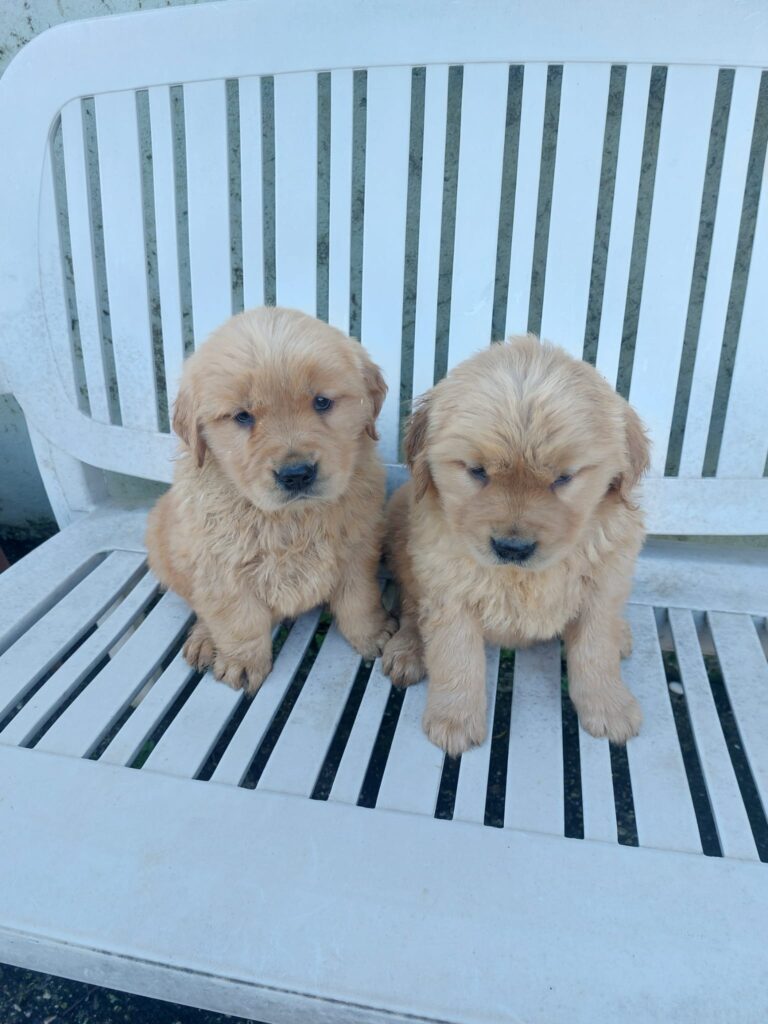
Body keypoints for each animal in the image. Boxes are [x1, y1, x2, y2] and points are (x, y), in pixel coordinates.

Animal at [145, 307, 397, 692]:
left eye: (321, 402)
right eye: (242, 416)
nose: (297, 474)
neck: (291, 519)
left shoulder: (358, 547)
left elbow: (359, 598)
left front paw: (373, 634)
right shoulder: (220, 565)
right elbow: (238, 617)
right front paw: (242, 661)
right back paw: (205, 639)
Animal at [382, 335, 651, 753]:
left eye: (564, 478)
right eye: (477, 471)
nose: (512, 548)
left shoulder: (603, 583)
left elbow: (595, 649)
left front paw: (609, 706)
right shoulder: (447, 586)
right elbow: (456, 652)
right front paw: (454, 717)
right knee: (411, 608)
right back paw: (407, 649)